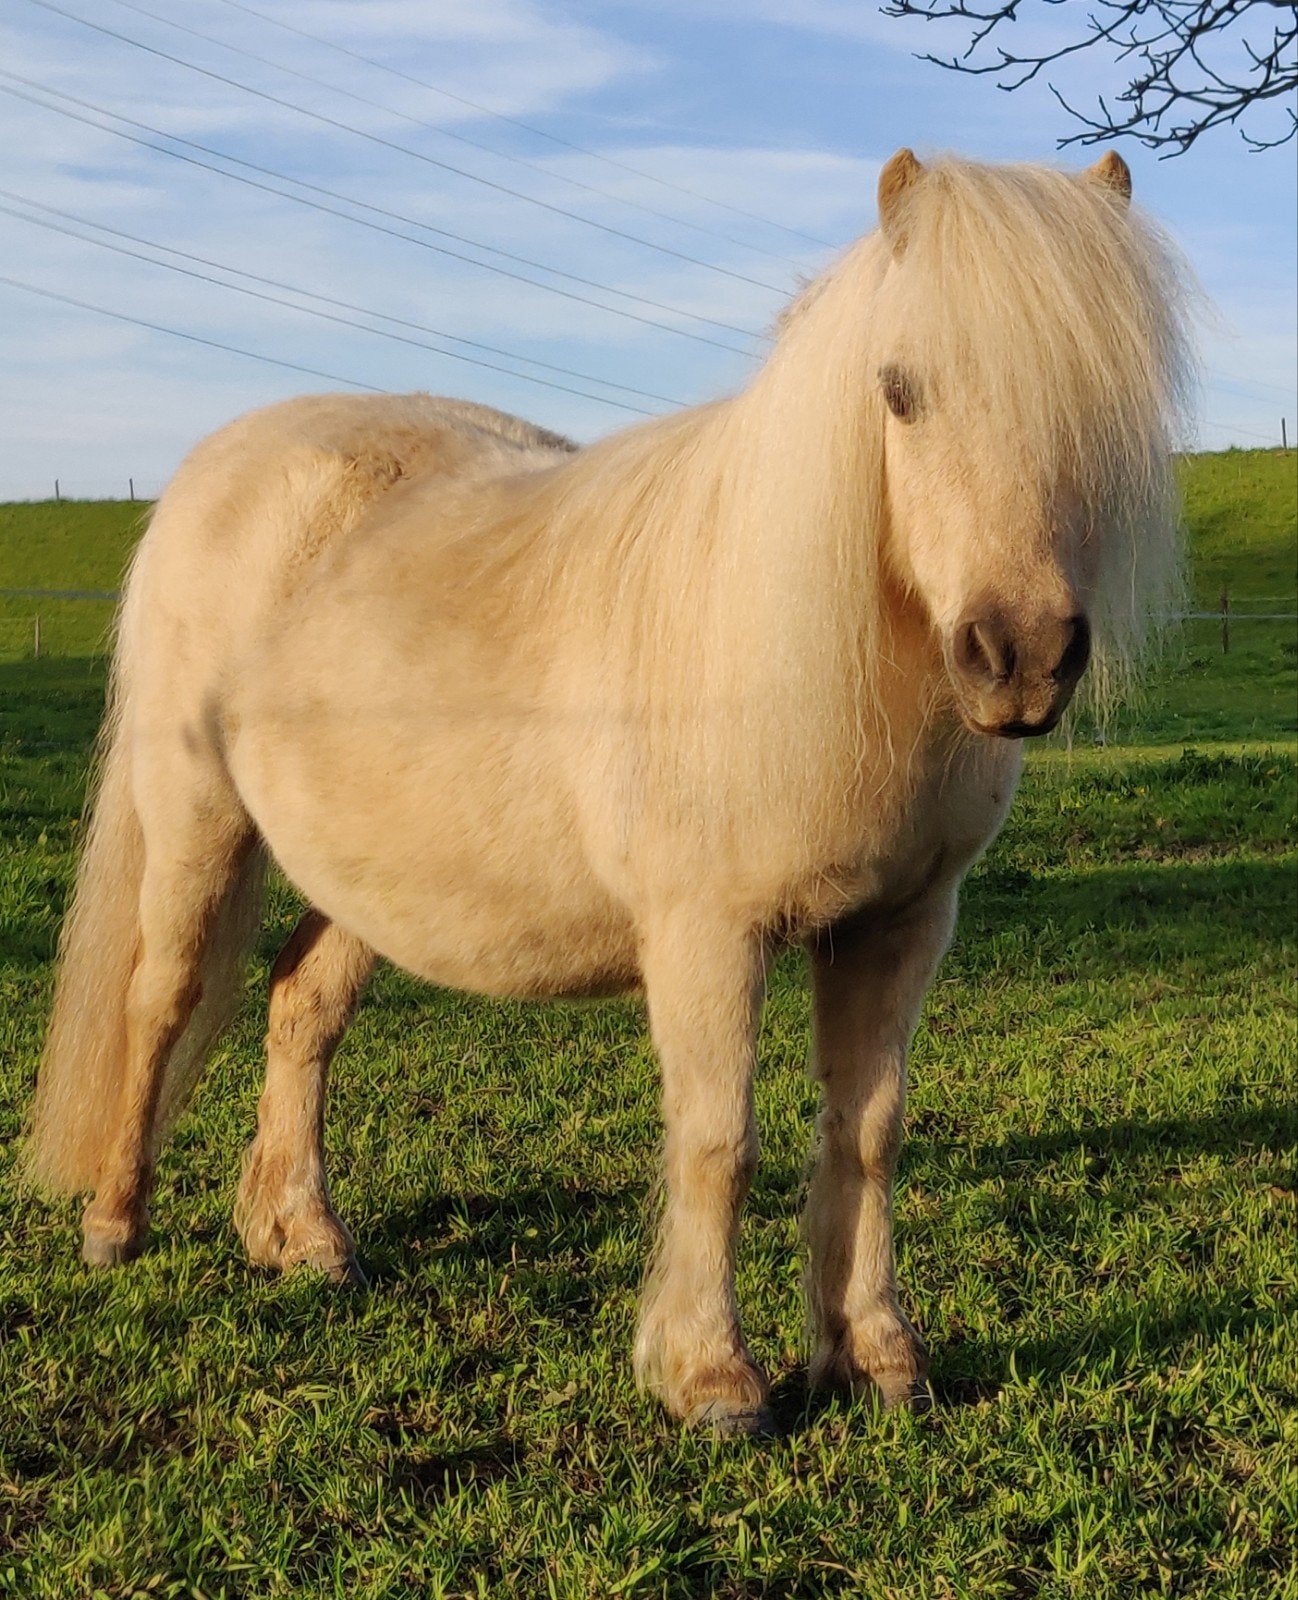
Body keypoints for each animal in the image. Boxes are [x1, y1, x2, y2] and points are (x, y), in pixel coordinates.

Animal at [25, 149, 1191, 1435]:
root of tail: (223, 460)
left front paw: (874, 1356)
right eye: (898, 391)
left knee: (301, 1009)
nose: (1018, 655)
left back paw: (300, 1236)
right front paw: (709, 1377)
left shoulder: (898, 925)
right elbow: (716, 1143)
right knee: (160, 1000)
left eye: (1104, 404)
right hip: (196, 820)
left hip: (364, 867)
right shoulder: (705, 935)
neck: (794, 642)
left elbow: (868, 1132)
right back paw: (115, 1223)